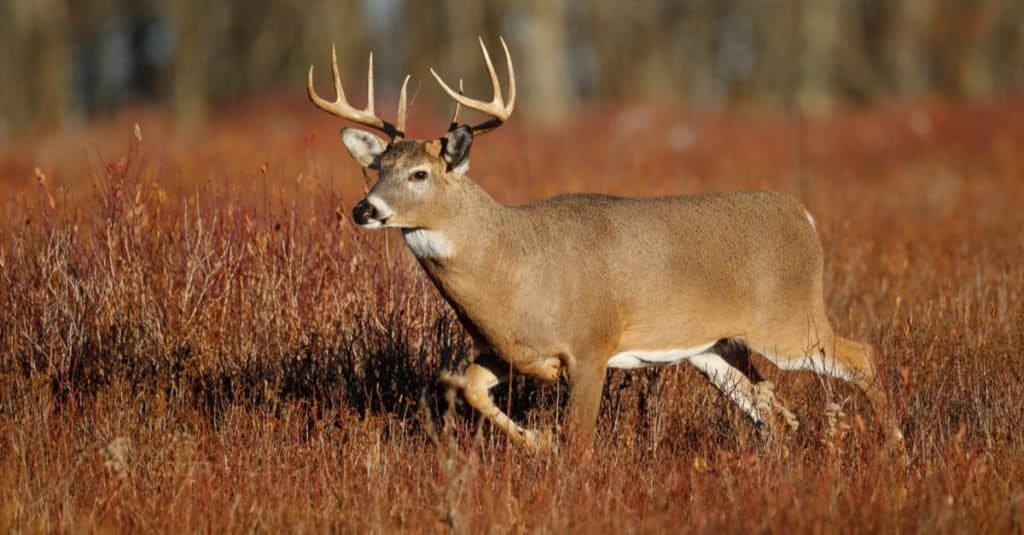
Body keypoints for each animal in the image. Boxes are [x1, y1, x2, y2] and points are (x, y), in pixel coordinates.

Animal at [307, 38, 902, 452]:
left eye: (420, 174)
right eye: (377, 168)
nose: (364, 210)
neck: (513, 266)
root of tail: (803, 215)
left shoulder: (591, 344)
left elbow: (581, 441)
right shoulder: (505, 350)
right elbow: (465, 386)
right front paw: (536, 442)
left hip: (789, 321)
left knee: (862, 356)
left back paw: (895, 445)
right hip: (713, 347)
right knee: (766, 400)